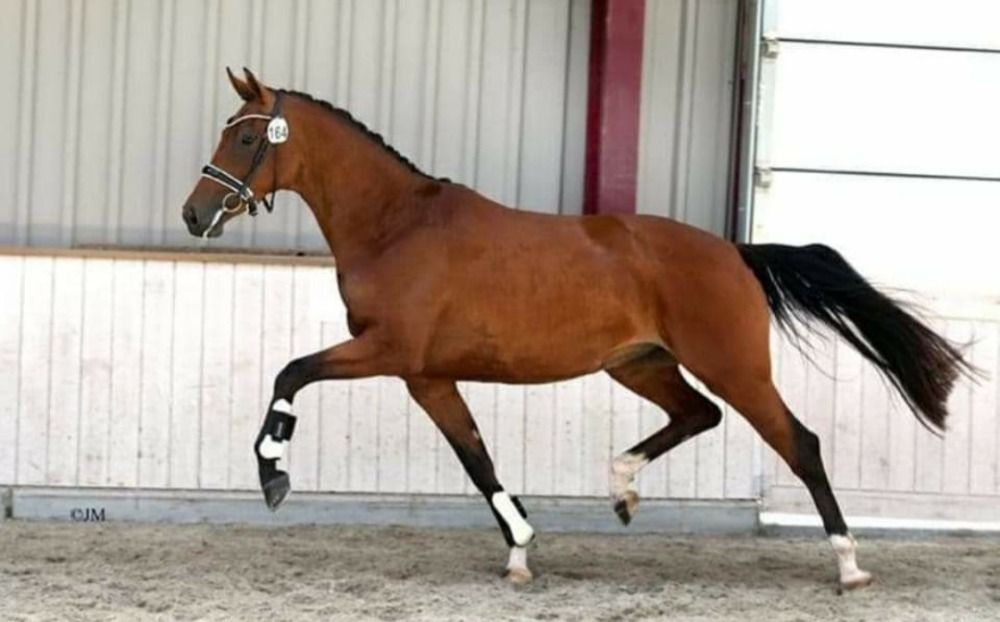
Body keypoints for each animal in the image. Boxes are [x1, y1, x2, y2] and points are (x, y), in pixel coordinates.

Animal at [181, 68, 971, 588]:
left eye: (246, 139)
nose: (195, 214)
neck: (395, 225)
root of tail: (735, 251)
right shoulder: (427, 376)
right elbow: (477, 460)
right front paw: (521, 550)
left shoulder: (387, 350)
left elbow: (291, 373)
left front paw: (273, 474)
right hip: (639, 362)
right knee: (697, 415)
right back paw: (622, 487)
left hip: (734, 367)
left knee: (797, 443)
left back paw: (849, 564)